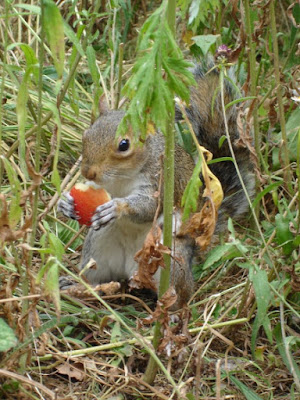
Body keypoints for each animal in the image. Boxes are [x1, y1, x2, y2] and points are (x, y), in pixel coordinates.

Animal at [57, 61, 254, 308]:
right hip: (98, 248)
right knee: (98, 278)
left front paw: (118, 207)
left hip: (171, 261)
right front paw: (65, 203)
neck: (121, 178)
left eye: (124, 144)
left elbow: (149, 208)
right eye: (86, 135)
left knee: (179, 294)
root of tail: (131, 271)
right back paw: (77, 285)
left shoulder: (161, 183)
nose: (87, 171)